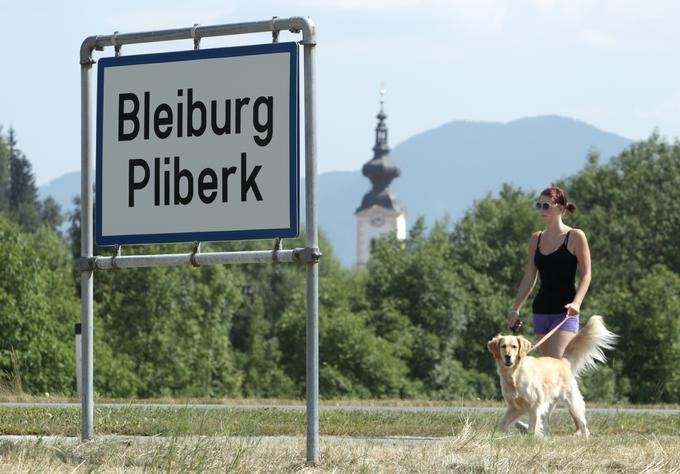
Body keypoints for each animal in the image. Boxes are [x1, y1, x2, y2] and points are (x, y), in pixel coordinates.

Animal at [486, 316, 620, 438]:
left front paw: (530, 440)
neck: (514, 374)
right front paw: (511, 434)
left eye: (514, 346)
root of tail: (562, 361)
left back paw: (585, 438)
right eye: (503, 346)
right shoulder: (515, 406)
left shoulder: (535, 404)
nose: (508, 357)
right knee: (546, 422)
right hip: (549, 403)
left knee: (582, 423)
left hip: (572, 401)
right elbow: (503, 424)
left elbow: (532, 428)